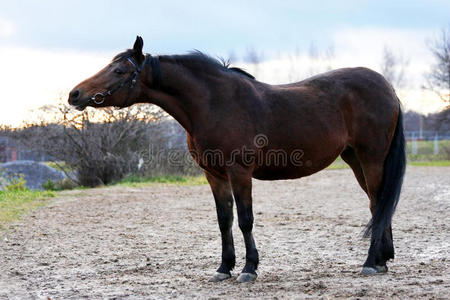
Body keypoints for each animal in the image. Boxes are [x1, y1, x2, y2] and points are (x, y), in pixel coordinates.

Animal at [68, 36, 406, 282]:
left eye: (119, 71)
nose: (75, 94)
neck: (215, 103)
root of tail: (387, 87)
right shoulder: (214, 175)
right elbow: (224, 220)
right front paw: (223, 268)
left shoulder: (239, 172)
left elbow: (245, 219)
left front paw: (248, 269)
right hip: (355, 160)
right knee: (377, 204)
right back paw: (382, 260)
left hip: (371, 158)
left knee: (378, 204)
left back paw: (370, 262)